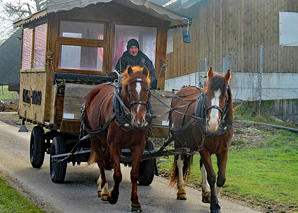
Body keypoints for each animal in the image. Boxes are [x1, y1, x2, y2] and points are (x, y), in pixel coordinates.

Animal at [83, 65, 150, 212]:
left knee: (105, 159)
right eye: (129, 91)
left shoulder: (139, 146)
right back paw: (103, 189)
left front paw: (135, 202)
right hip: (94, 136)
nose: (139, 120)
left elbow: (134, 174)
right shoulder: (115, 145)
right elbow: (117, 174)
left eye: (147, 90)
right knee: (101, 162)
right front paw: (112, 196)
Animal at [170, 67, 233, 213]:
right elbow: (212, 176)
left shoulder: (224, 150)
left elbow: (221, 178)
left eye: (225, 96)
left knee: (201, 164)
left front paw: (211, 197)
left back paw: (205, 192)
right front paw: (215, 205)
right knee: (180, 163)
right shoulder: (204, 149)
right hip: (178, 141)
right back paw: (181, 191)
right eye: (207, 94)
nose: (213, 123)